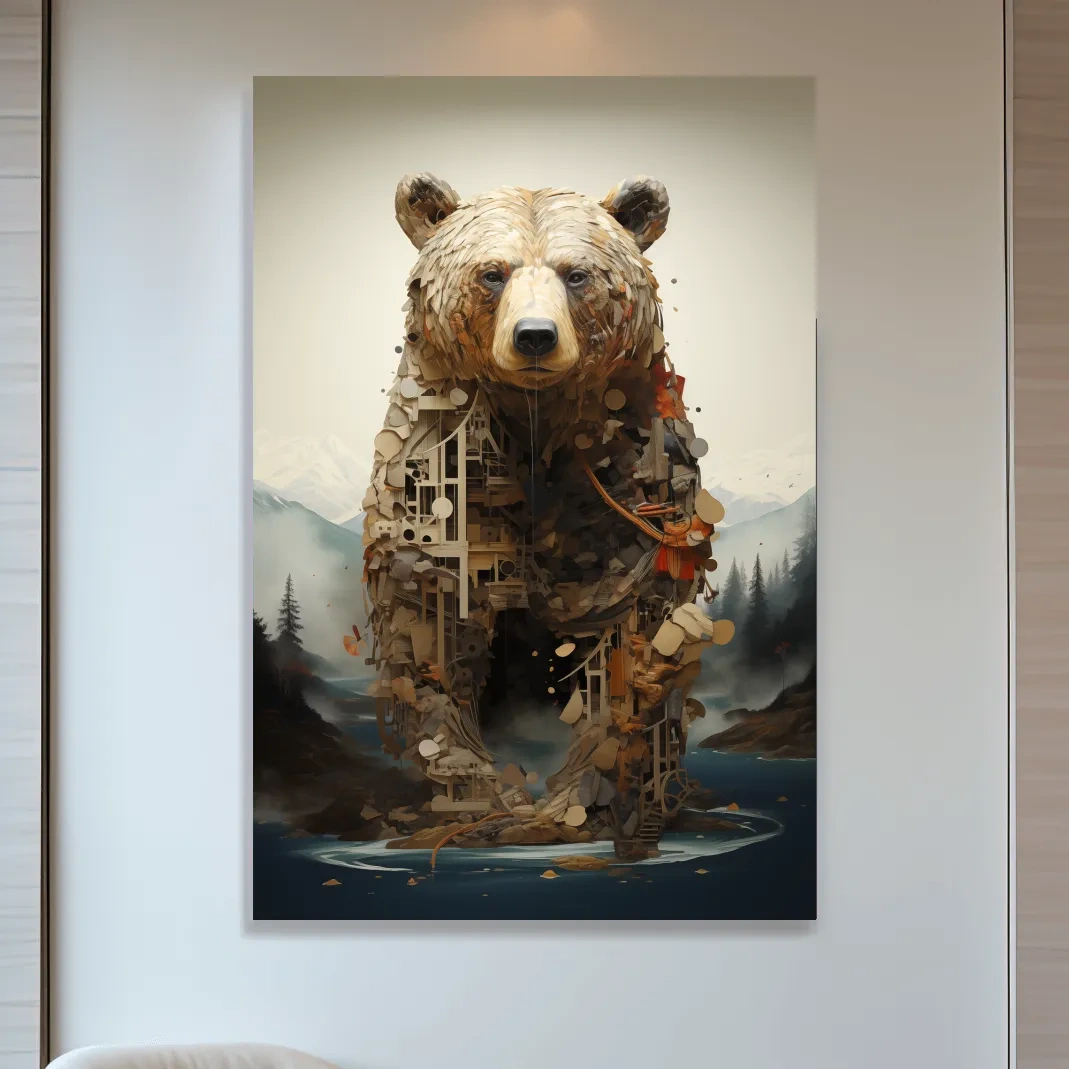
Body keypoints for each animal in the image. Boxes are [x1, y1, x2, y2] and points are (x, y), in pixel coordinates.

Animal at [360, 172, 733, 857]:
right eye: (493, 273)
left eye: (575, 274)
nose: (535, 336)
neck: (534, 423)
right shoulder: (437, 494)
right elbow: (433, 638)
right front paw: (483, 803)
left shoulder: (627, 492)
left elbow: (626, 646)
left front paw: (577, 804)